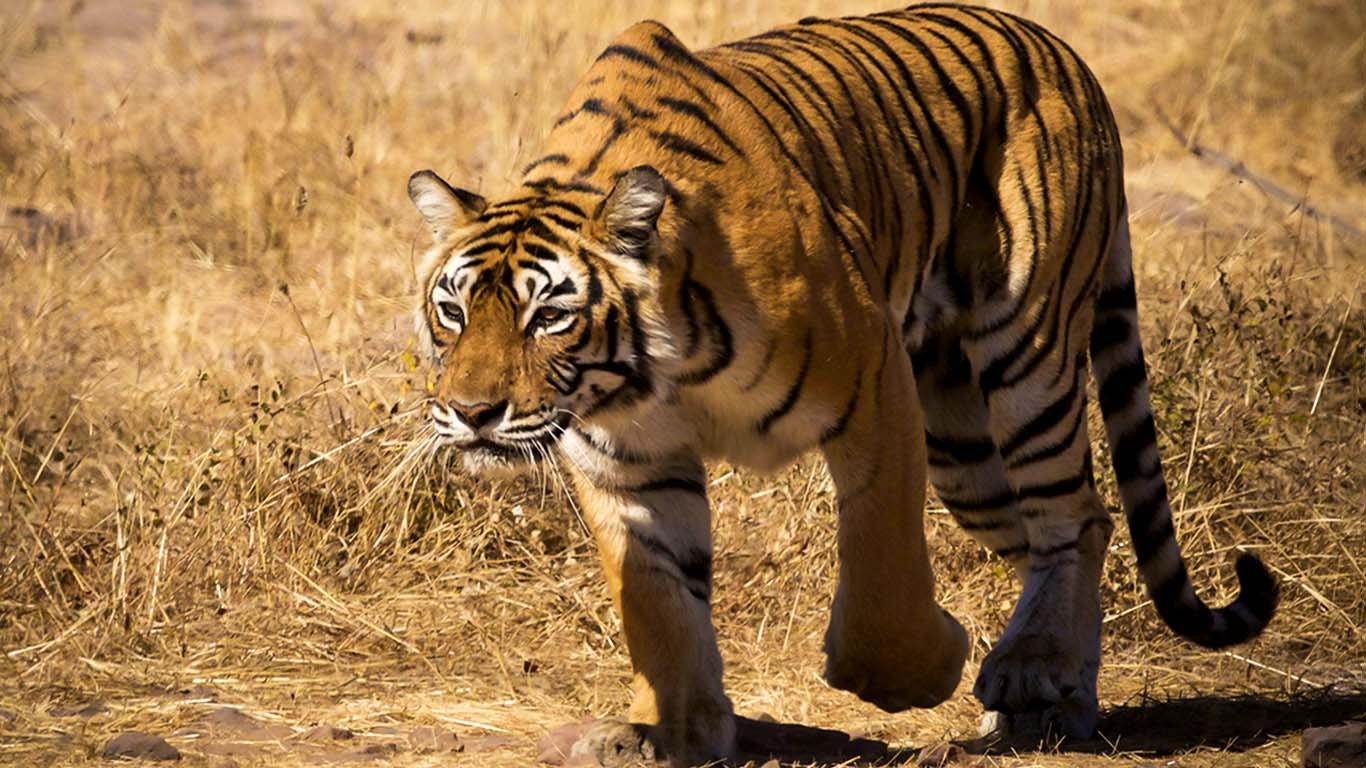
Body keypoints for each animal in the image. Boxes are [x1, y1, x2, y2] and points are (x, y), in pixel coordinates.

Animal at [406, 3, 1279, 764]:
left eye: (548, 316)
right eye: (452, 311)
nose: (472, 413)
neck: (652, 374)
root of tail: (1063, 53)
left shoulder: (873, 380)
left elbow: (881, 578)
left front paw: (929, 667)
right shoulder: (629, 462)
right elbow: (658, 603)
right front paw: (669, 732)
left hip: (1027, 350)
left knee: (1076, 514)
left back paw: (1031, 675)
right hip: (965, 447)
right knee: (1055, 530)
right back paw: (1053, 698)